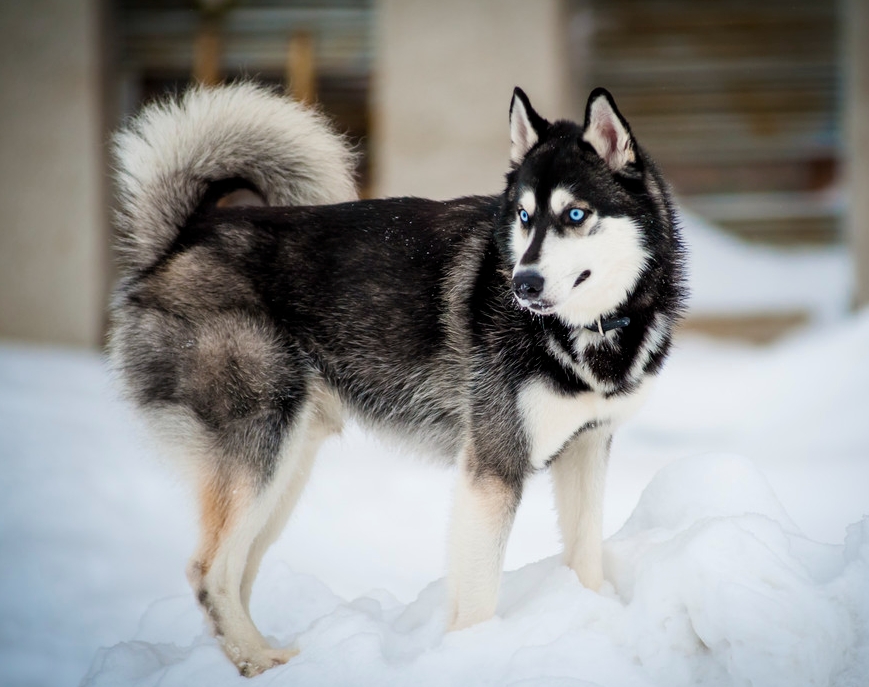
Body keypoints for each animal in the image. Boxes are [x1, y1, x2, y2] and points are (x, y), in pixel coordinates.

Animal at [110, 82, 684, 676]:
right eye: (525, 216)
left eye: (575, 214)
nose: (522, 284)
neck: (583, 335)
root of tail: (175, 245)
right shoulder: (493, 465)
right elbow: (478, 595)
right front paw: (472, 656)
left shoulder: (589, 447)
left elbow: (585, 558)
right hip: (261, 450)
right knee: (209, 571)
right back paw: (261, 661)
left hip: (287, 466)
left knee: (238, 569)